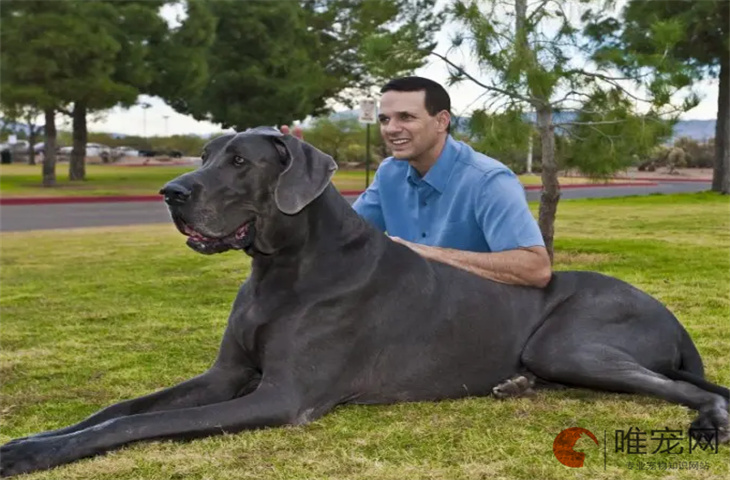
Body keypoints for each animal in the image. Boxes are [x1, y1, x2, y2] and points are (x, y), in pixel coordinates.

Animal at [2, 128, 724, 476]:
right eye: (204, 154)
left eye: (240, 161)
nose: (171, 192)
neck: (282, 268)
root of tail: (673, 316)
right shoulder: (226, 374)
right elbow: (116, 409)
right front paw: (29, 440)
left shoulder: (280, 396)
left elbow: (135, 426)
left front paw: (34, 457)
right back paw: (514, 385)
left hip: (566, 342)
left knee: (700, 391)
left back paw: (708, 424)